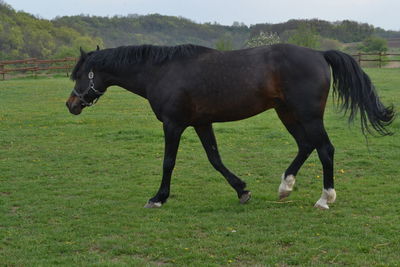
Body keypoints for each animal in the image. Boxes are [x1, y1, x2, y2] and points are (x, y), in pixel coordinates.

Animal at [65, 44, 394, 210]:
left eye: (79, 74)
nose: (71, 104)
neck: (161, 70)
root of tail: (318, 54)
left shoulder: (173, 125)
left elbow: (168, 162)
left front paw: (158, 198)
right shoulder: (201, 123)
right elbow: (215, 158)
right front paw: (242, 190)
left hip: (308, 116)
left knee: (325, 149)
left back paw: (325, 199)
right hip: (287, 113)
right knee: (306, 145)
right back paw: (285, 187)